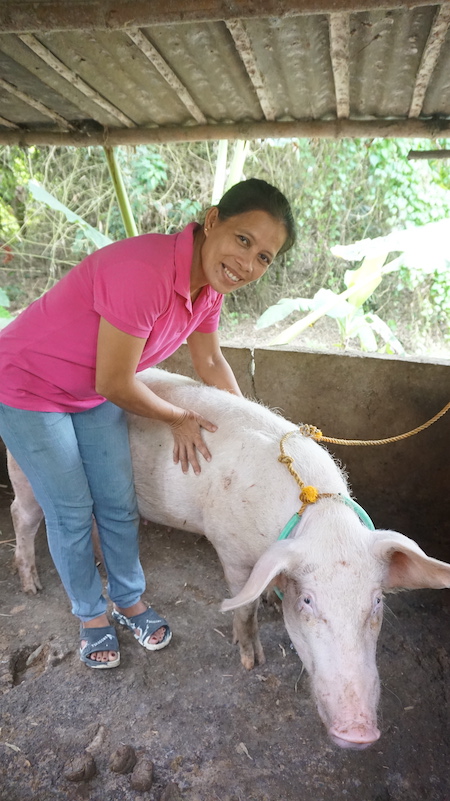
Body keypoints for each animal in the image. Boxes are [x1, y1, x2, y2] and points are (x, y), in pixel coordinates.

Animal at [6, 368, 450, 752]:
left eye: (377, 602)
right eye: (308, 601)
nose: (359, 733)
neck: (315, 520)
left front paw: (269, 600)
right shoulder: (230, 547)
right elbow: (243, 605)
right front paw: (252, 660)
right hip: (26, 470)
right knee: (24, 515)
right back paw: (31, 586)